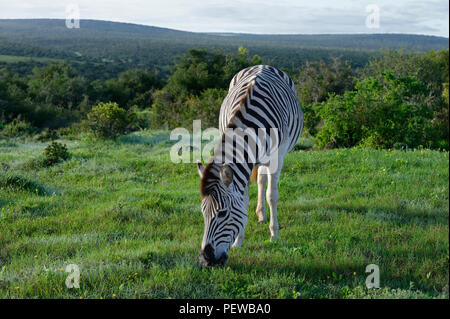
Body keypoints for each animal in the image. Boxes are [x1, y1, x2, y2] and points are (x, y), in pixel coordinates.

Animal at [196, 65, 302, 268]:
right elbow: (244, 201)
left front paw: (274, 234)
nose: (206, 261)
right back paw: (260, 214)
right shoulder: (242, 170)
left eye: (222, 213)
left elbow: (272, 196)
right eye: (203, 213)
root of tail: (262, 65)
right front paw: (238, 241)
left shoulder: (277, 159)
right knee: (260, 179)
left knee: (263, 181)